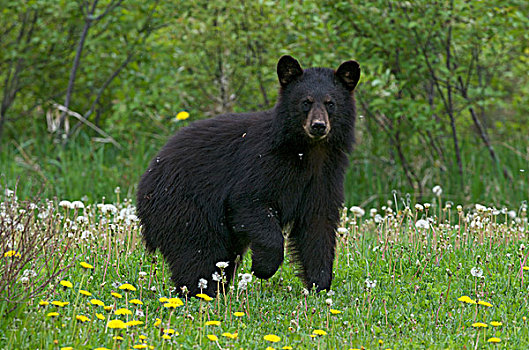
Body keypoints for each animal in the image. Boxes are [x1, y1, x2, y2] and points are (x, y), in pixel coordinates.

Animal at [136, 56, 358, 296]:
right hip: (184, 207)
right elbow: (249, 201)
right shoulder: (262, 162)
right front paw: (263, 267)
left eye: (330, 103)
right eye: (305, 102)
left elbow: (318, 227)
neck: (308, 151)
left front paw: (320, 285)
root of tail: (147, 177)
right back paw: (201, 292)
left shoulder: (325, 176)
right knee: (197, 253)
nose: (318, 126)